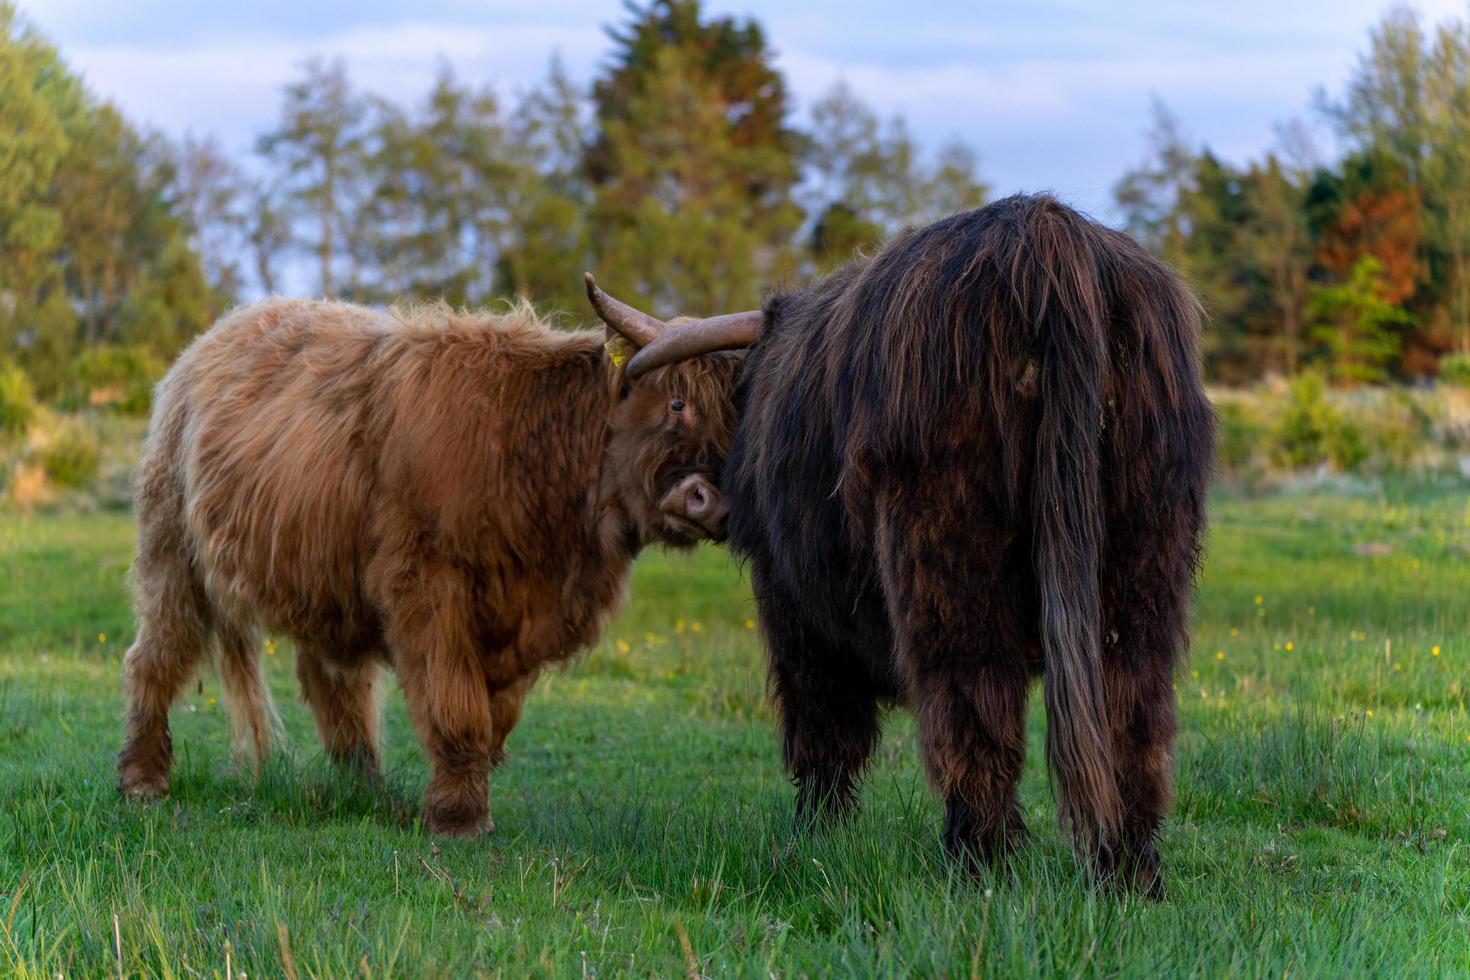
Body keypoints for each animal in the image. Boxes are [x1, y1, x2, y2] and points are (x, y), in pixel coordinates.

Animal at [116, 283, 740, 834]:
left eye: (738, 424)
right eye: (678, 402)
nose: (713, 501)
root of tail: (217, 334)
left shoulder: (530, 613)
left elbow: (497, 712)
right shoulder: (428, 582)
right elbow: (455, 703)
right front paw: (459, 818)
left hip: (324, 577)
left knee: (333, 680)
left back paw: (364, 787)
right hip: (173, 553)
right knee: (155, 655)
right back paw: (143, 779)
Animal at [593, 193, 1217, 899]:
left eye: (681, 407)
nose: (695, 498)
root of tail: (1047, 236)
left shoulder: (790, 601)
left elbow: (822, 726)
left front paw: (817, 833)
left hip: (946, 554)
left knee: (972, 700)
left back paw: (978, 861)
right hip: (1141, 560)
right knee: (1130, 711)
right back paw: (1128, 871)